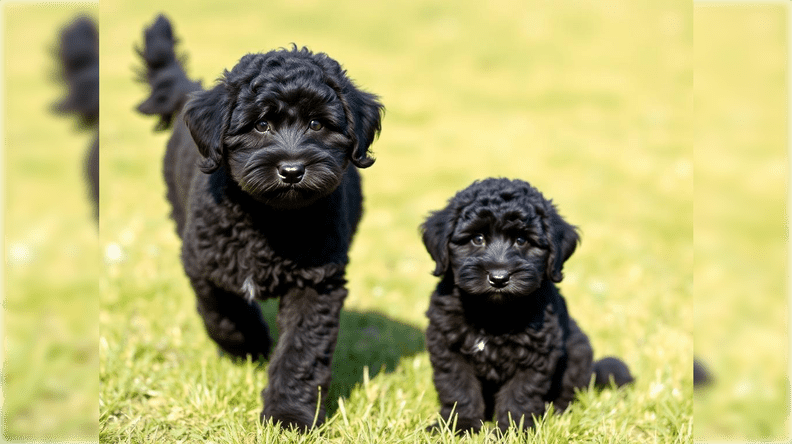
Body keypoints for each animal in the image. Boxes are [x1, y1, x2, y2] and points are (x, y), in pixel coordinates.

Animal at [136, 16, 384, 430]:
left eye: (317, 123)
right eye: (262, 125)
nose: (292, 170)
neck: (271, 219)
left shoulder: (316, 284)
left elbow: (300, 352)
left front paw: (289, 414)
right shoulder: (203, 264)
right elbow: (224, 313)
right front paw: (249, 346)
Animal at [420, 178, 632, 434]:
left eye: (521, 240)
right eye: (477, 238)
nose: (499, 278)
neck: (493, 314)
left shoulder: (536, 355)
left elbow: (520, 395)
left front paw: (511, 431)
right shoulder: (448, 348)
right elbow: (459, 390)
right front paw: (459, 426)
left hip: (578, 351)